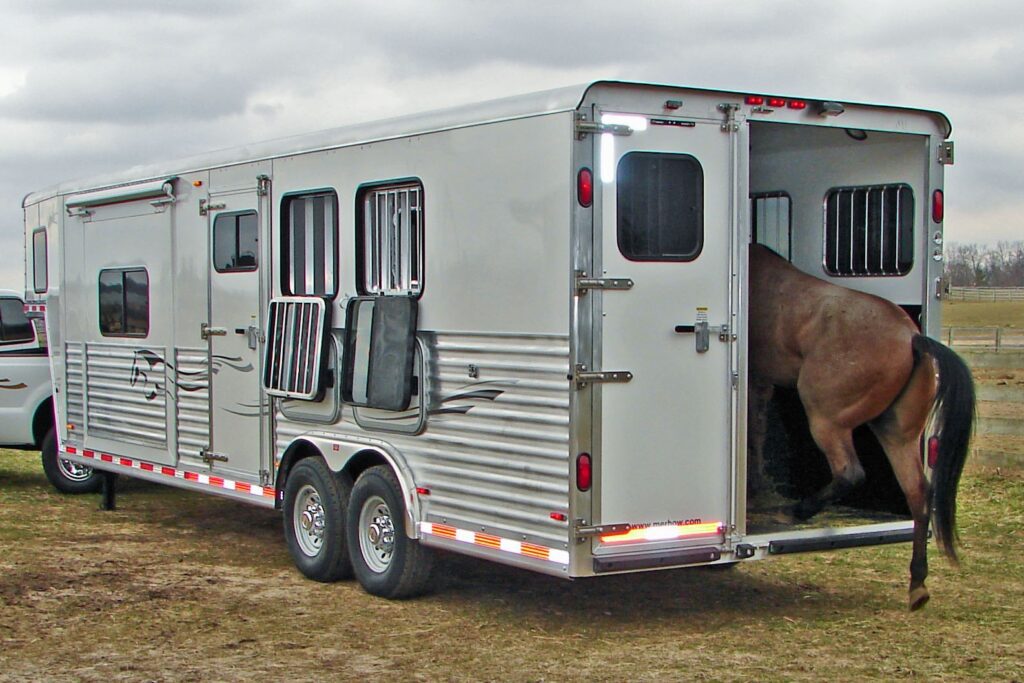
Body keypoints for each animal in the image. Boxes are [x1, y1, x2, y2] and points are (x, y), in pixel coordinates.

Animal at [747, 244, 975, 611]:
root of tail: (912, 337)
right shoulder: (760, 381)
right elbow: (757, 431)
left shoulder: (755, 378)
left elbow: (753, 433)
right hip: (897, 435)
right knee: (918, 494)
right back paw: (917, 585)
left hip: (826, 420)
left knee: (849, 472)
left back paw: (796, 511)